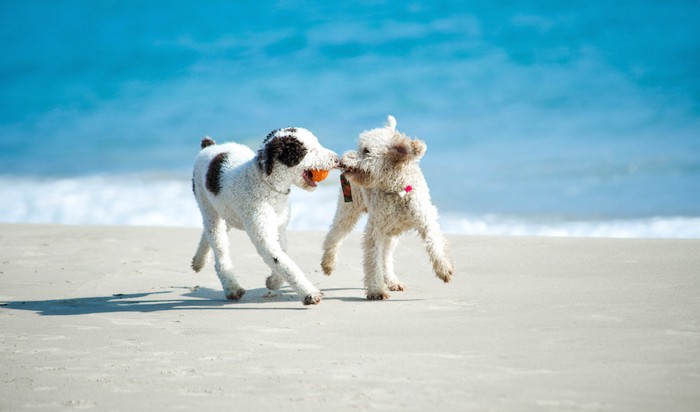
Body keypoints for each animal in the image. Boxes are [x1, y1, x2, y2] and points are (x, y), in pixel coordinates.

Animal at [191, 127, 340, 304]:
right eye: (307, 150)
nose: (337, 159)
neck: (267, 186)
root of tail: (209, 147)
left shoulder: (280, 228)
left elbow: (282, 257)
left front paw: (273, 282)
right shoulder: (264, 236)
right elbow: (285, 263)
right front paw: (309, 293)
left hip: (225, 210)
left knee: (209, 234)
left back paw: (198, 262)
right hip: (207, 207)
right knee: (219, 247)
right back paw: (231, 287)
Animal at [322, 115, 454, 300]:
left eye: (366, 150)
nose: (341, 160)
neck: (396, 189)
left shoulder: (425, 219)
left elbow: (434, 243)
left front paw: (443, 269)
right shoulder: (374, 230)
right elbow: (373, 261)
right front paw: (376, 290)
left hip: (391, 233)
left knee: (386, 256)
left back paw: (392, 281)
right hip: (349, 211)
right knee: (334, 236)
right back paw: (328, 264)